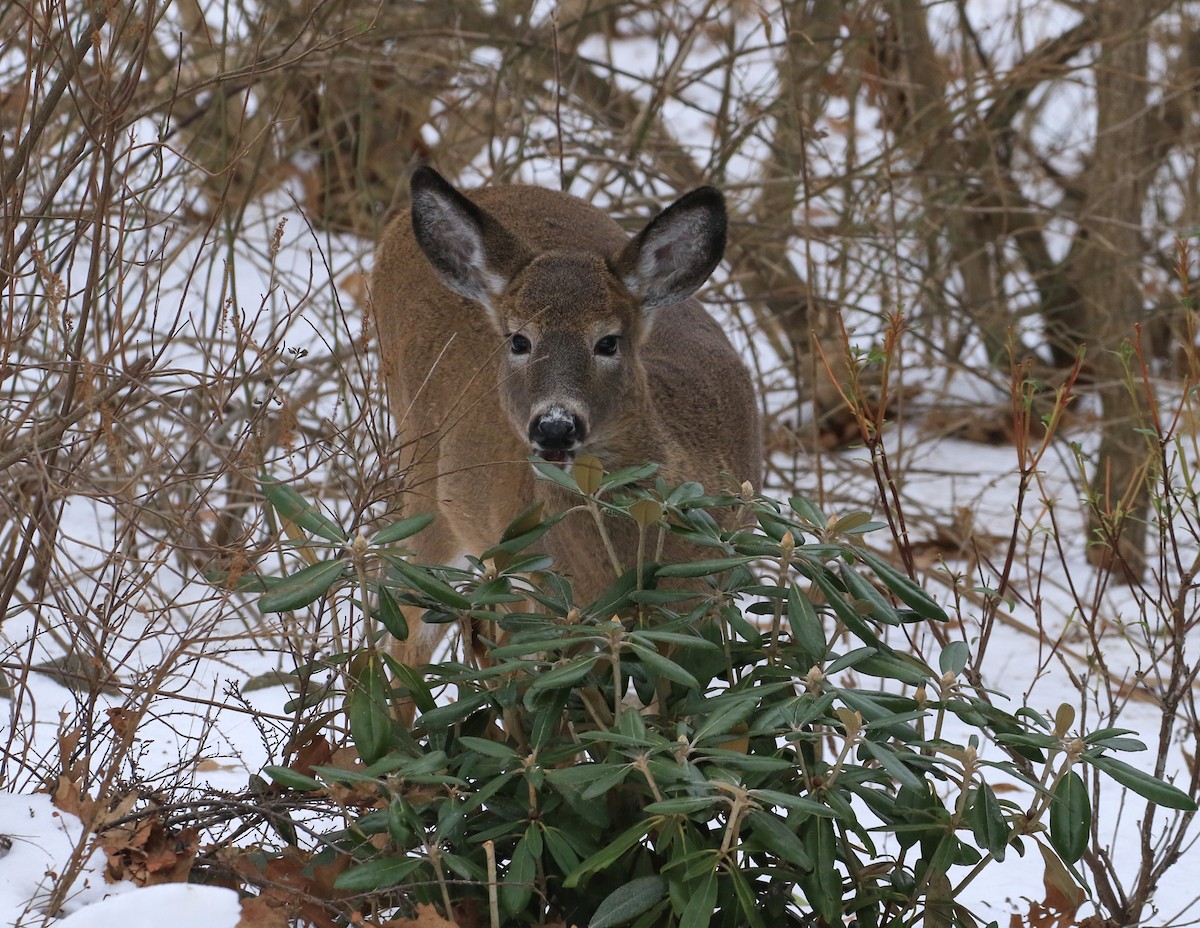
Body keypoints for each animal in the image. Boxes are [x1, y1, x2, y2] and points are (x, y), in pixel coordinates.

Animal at [371, 167, 762, 673]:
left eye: (608, 341)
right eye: (518, 340)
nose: (555, 426)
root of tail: (397, 225)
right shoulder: (554, 599)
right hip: (425, 473)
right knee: (408, 638)